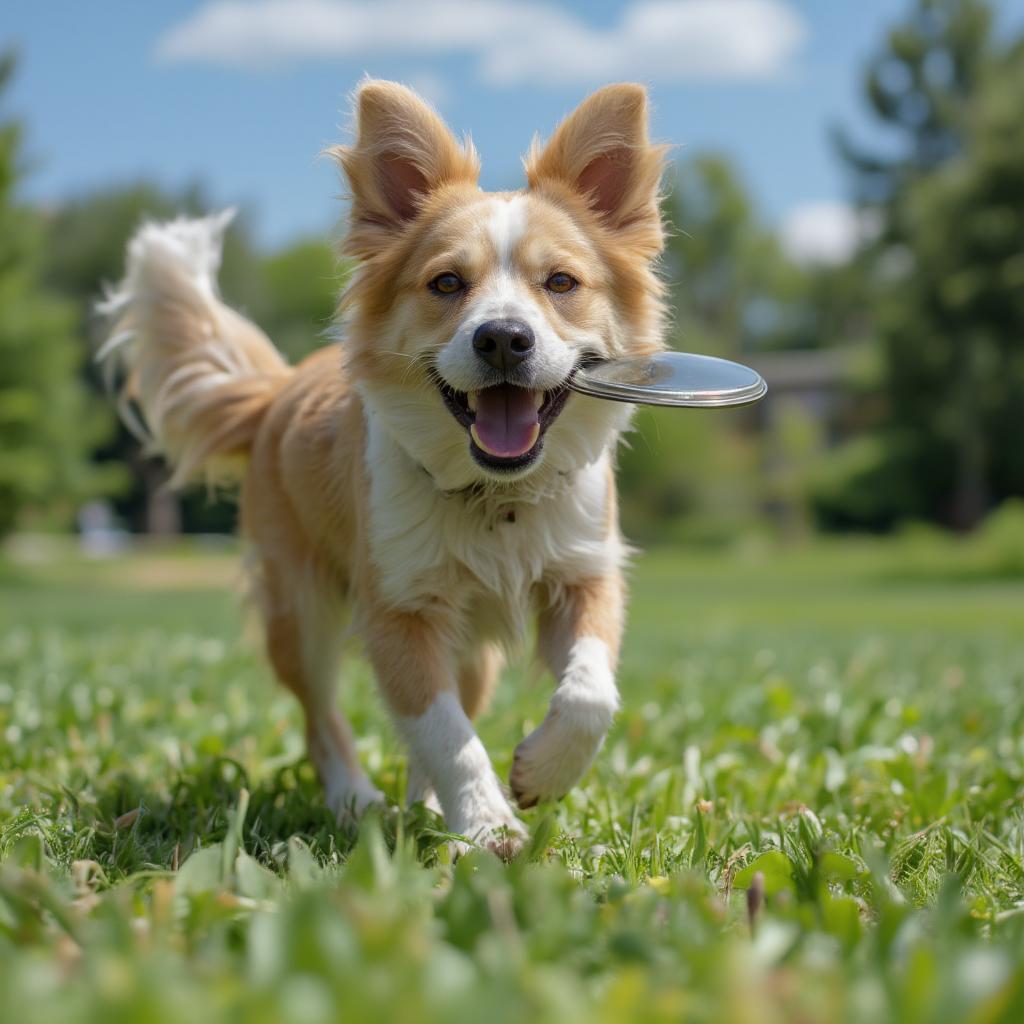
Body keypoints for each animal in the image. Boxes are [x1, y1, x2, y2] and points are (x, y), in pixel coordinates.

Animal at [99, 79, 667, 856]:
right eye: (447, 283)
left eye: (560, 281)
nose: (503, 337)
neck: (493, 494)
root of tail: (278, 390)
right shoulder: (397, 608)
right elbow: (444, 731)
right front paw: (488, 826)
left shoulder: (583, 575)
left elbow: (588, 694)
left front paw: (540, 773)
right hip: (300, 612)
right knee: (321, 718)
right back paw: (355, 801)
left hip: (470, 651)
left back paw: (421, 806)